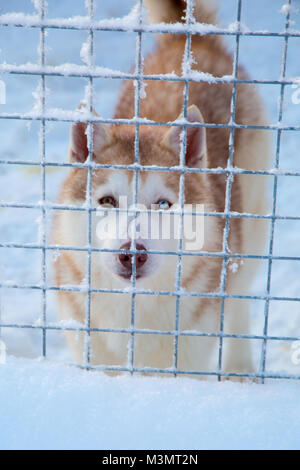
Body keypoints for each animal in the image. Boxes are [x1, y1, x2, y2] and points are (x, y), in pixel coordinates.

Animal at [52, 0, 270, 378]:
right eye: (107, 200)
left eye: (164, 204)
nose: (132, 253)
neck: (135, 313)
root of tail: (187, 42)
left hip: (252, 233)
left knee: (239, 299)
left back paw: (238, 369)